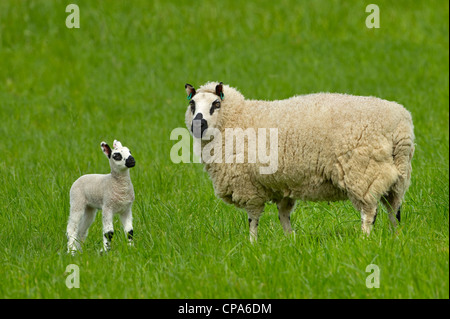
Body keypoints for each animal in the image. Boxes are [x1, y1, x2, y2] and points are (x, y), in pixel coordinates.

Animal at [184, 82, 414, 242]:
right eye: (192, 104)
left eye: (216, 104)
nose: (197, 124)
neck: (236, 119)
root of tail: (400, 124)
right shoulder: (282, 185)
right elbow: (283, 215)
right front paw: (290, 241)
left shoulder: (248, 187)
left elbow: (253, 219)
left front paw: (252, 244)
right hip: (399, 174)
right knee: (394, 209)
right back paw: (397, 237)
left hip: (364, 172)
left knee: (370, 212)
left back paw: (364, 239)